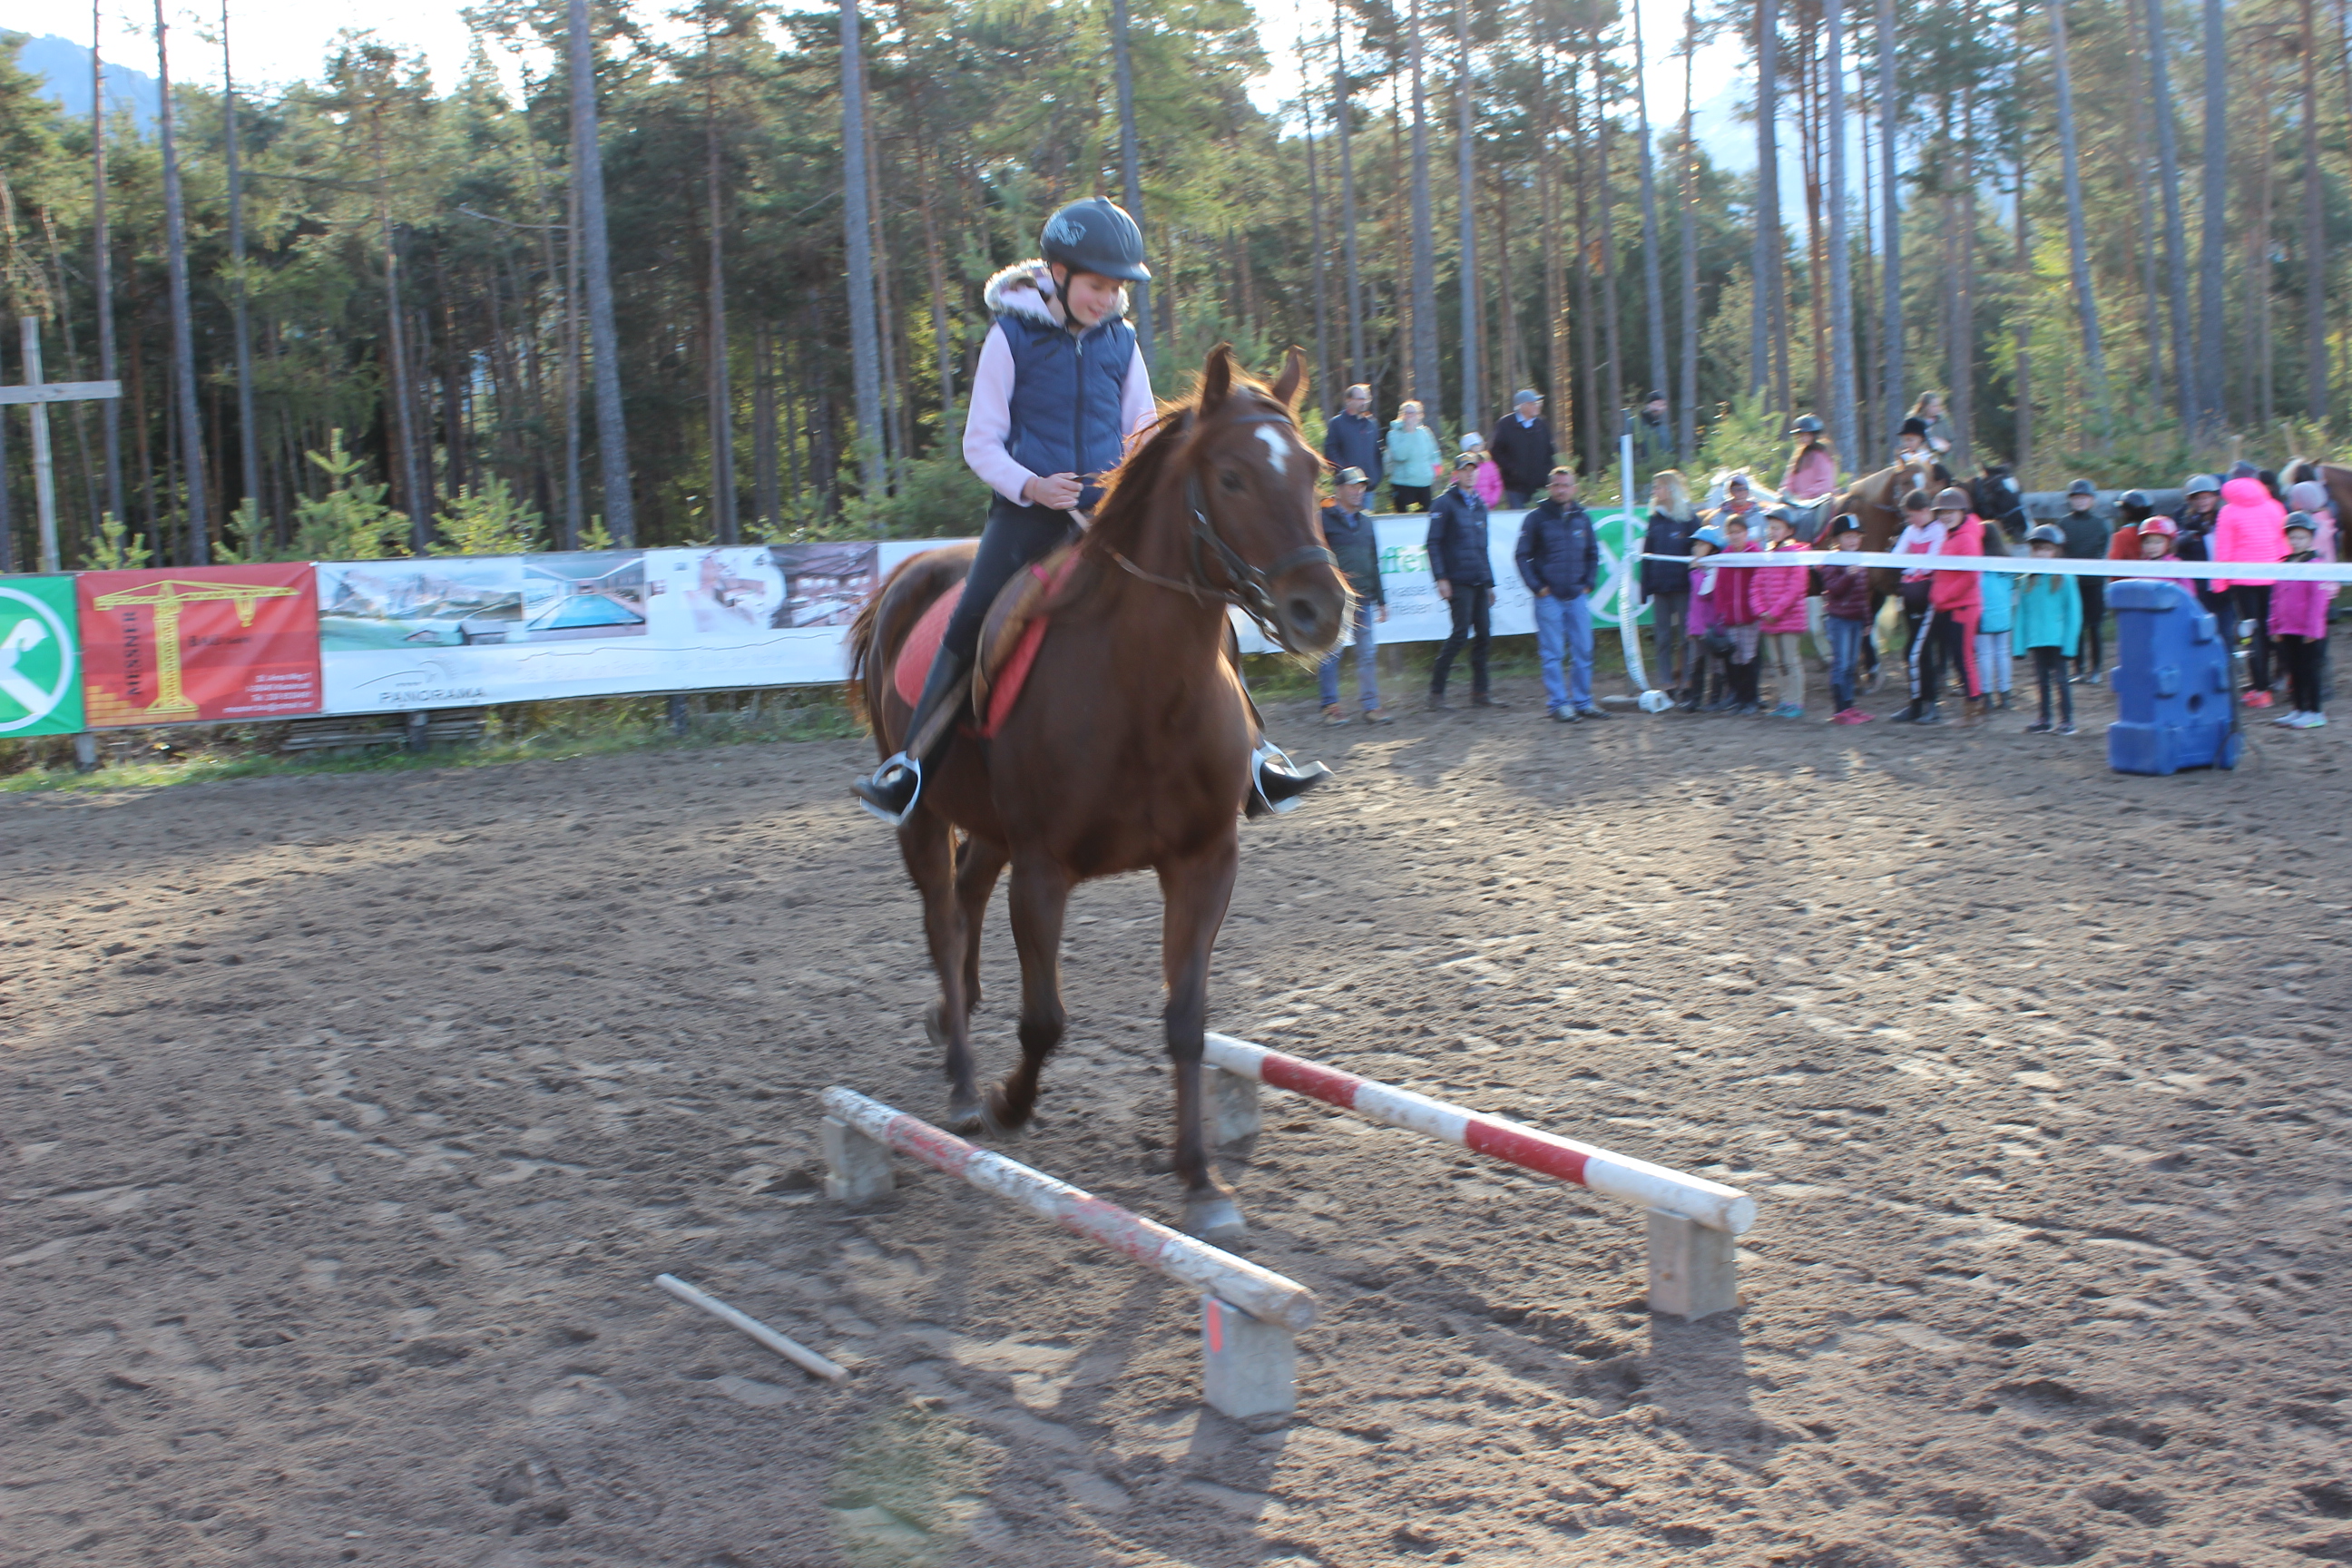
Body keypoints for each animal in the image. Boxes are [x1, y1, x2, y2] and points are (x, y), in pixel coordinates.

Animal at [844, 345, 1349, 1242]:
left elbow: (1186, 1021)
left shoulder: (1204, 862)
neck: (1145, 688)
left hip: (989, 828)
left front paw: (1201, 1182)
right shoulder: (1045, 869)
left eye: (1313, 469)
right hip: (924, 818)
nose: (1318, 611)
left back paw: (952, 1018)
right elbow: (1046, 1018)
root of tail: (912, 569)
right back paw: (965, 1081)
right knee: (942, 918)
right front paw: (1009, 1104)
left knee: (968, 895)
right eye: (1231, 477)